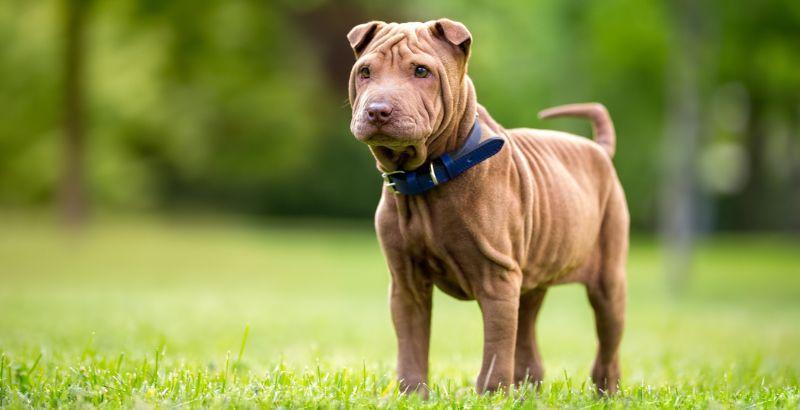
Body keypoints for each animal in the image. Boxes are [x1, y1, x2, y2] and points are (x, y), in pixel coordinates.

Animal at [346, 18, 628, 394]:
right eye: (365, 72)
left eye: (421, 71)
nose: (377, 110)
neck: (427, 177)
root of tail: (599, 150)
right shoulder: (406, 283)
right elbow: (411, 347)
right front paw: (412, 395)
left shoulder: (497, 279)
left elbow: (496, 351)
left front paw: (491, 395)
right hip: (531, 280)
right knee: (528, 340)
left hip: (608, 280)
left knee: (607, 346)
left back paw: (606, 392)